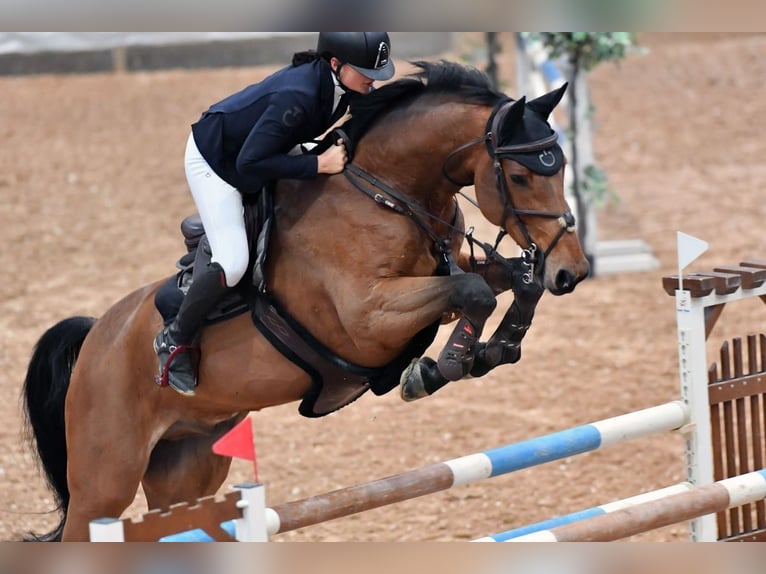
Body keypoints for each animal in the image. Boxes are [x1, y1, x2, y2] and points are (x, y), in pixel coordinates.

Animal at [21, 60, 589, 541]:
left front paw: (497, 348)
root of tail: (96, 336)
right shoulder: (367, 318)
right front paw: (439, 367)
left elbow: (514, 283)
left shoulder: (451, 267)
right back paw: (172, 353)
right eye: (520, 176)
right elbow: (472, 294)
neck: (386, 194)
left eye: (560, 167)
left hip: (186, 468)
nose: (573, 271)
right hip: (104, 481)